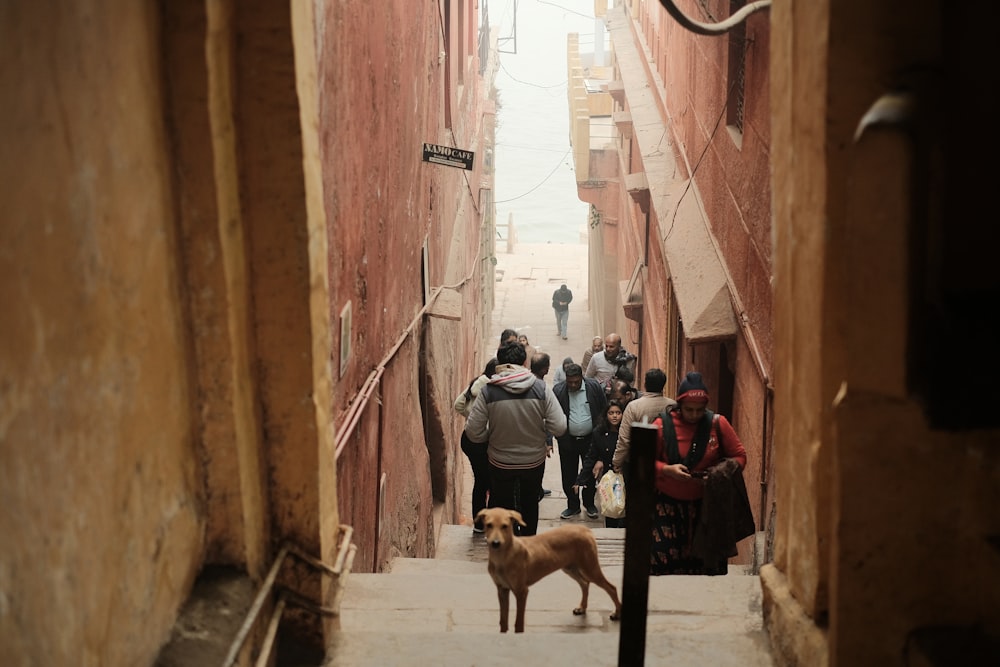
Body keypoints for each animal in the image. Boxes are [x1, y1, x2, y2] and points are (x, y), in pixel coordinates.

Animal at [474, 508, 620, 636]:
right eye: (489, 525)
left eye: (505, 526)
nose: (495, 543)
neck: (503, 557)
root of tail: (585, 529)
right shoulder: (502, 589)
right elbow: (503, 620)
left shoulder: (521, 591)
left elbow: (518, 623)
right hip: (570, 568)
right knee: (585, 583)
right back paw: (582, 608)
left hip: (590, 567)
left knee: (611, 587)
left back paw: (616, 614)